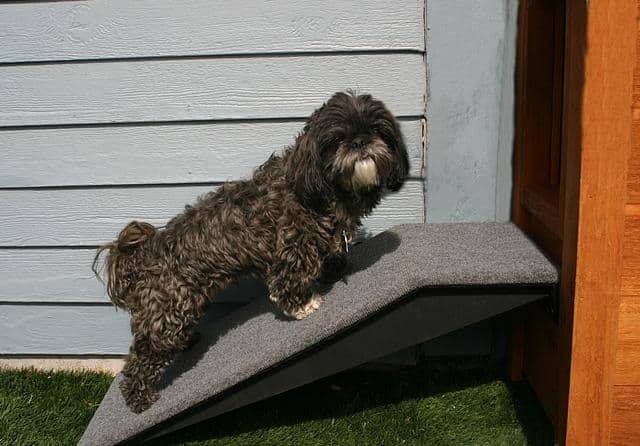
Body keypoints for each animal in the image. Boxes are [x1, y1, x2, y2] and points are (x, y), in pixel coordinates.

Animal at [92, 91, 410, 414]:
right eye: (337, 138)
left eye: (377, 129)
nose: (360, 142)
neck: (323, 189)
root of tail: (145, 253)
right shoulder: (291, 249)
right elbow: (288, 284)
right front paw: (303, 305)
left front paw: (335, 271)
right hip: (167, 317)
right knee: (140, 359)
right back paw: (139, 397)